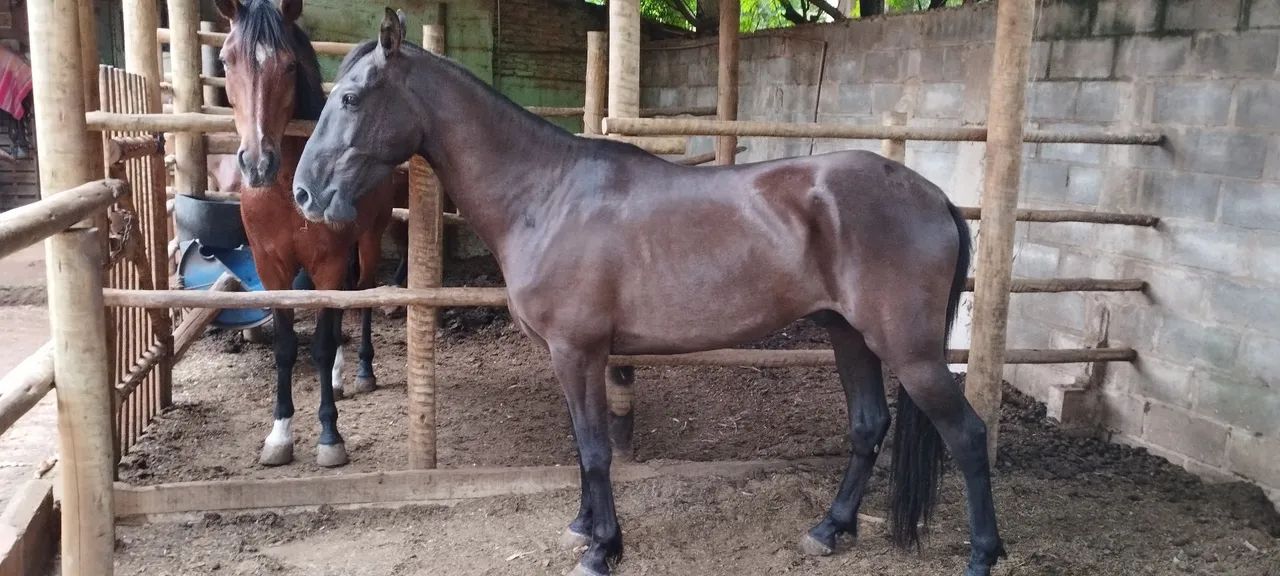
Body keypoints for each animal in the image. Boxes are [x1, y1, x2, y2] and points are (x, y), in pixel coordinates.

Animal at [213, 0, 397, 468]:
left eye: (290, 65)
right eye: (226, 60)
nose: (257, 163)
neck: (283, 190)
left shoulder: (327, 262)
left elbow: (321, 343)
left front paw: (330, 437)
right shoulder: (272, 268)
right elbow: (285, 347)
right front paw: (279, 436)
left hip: (368, 239)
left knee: (360, 296)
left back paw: (362, 371)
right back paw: (337, 378)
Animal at [293, 9, 1004, 576]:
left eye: (350, 98)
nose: (303, 194)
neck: (544, 194)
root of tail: (932, 195)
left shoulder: (578, 351)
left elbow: (595, 449)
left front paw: (602, 548)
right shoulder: (569, 356)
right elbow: (581, 444)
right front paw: (583, 527)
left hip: (909, 350)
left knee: (969, 435)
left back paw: (981, 554)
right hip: (847, 334)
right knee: (868, 426)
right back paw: (830, 529)